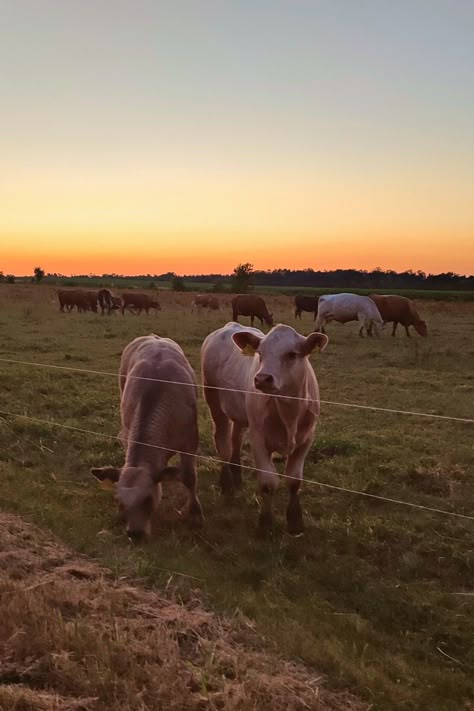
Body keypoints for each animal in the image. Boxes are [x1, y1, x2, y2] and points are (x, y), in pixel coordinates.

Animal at [91, 336, 203, 544]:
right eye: (120, 502)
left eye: (148, 499)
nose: (135, 533)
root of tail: (154, 337)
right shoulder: (126, 434)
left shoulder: (190, 441)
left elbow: (189, 477)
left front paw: (195, 513)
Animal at [202, 322, 328, 536]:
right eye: (260, 353)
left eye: (292, 354)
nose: (262, 378)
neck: (288, 411)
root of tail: (229, 326)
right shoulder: (258, 439)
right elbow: (268, 483)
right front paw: (266, 522)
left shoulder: (306, 439)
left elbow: (294, 479)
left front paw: (295, 520)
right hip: (214, 402)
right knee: (223, 443)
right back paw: (227, 483)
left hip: (240, 413)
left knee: (235, 439)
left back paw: (237, 476)